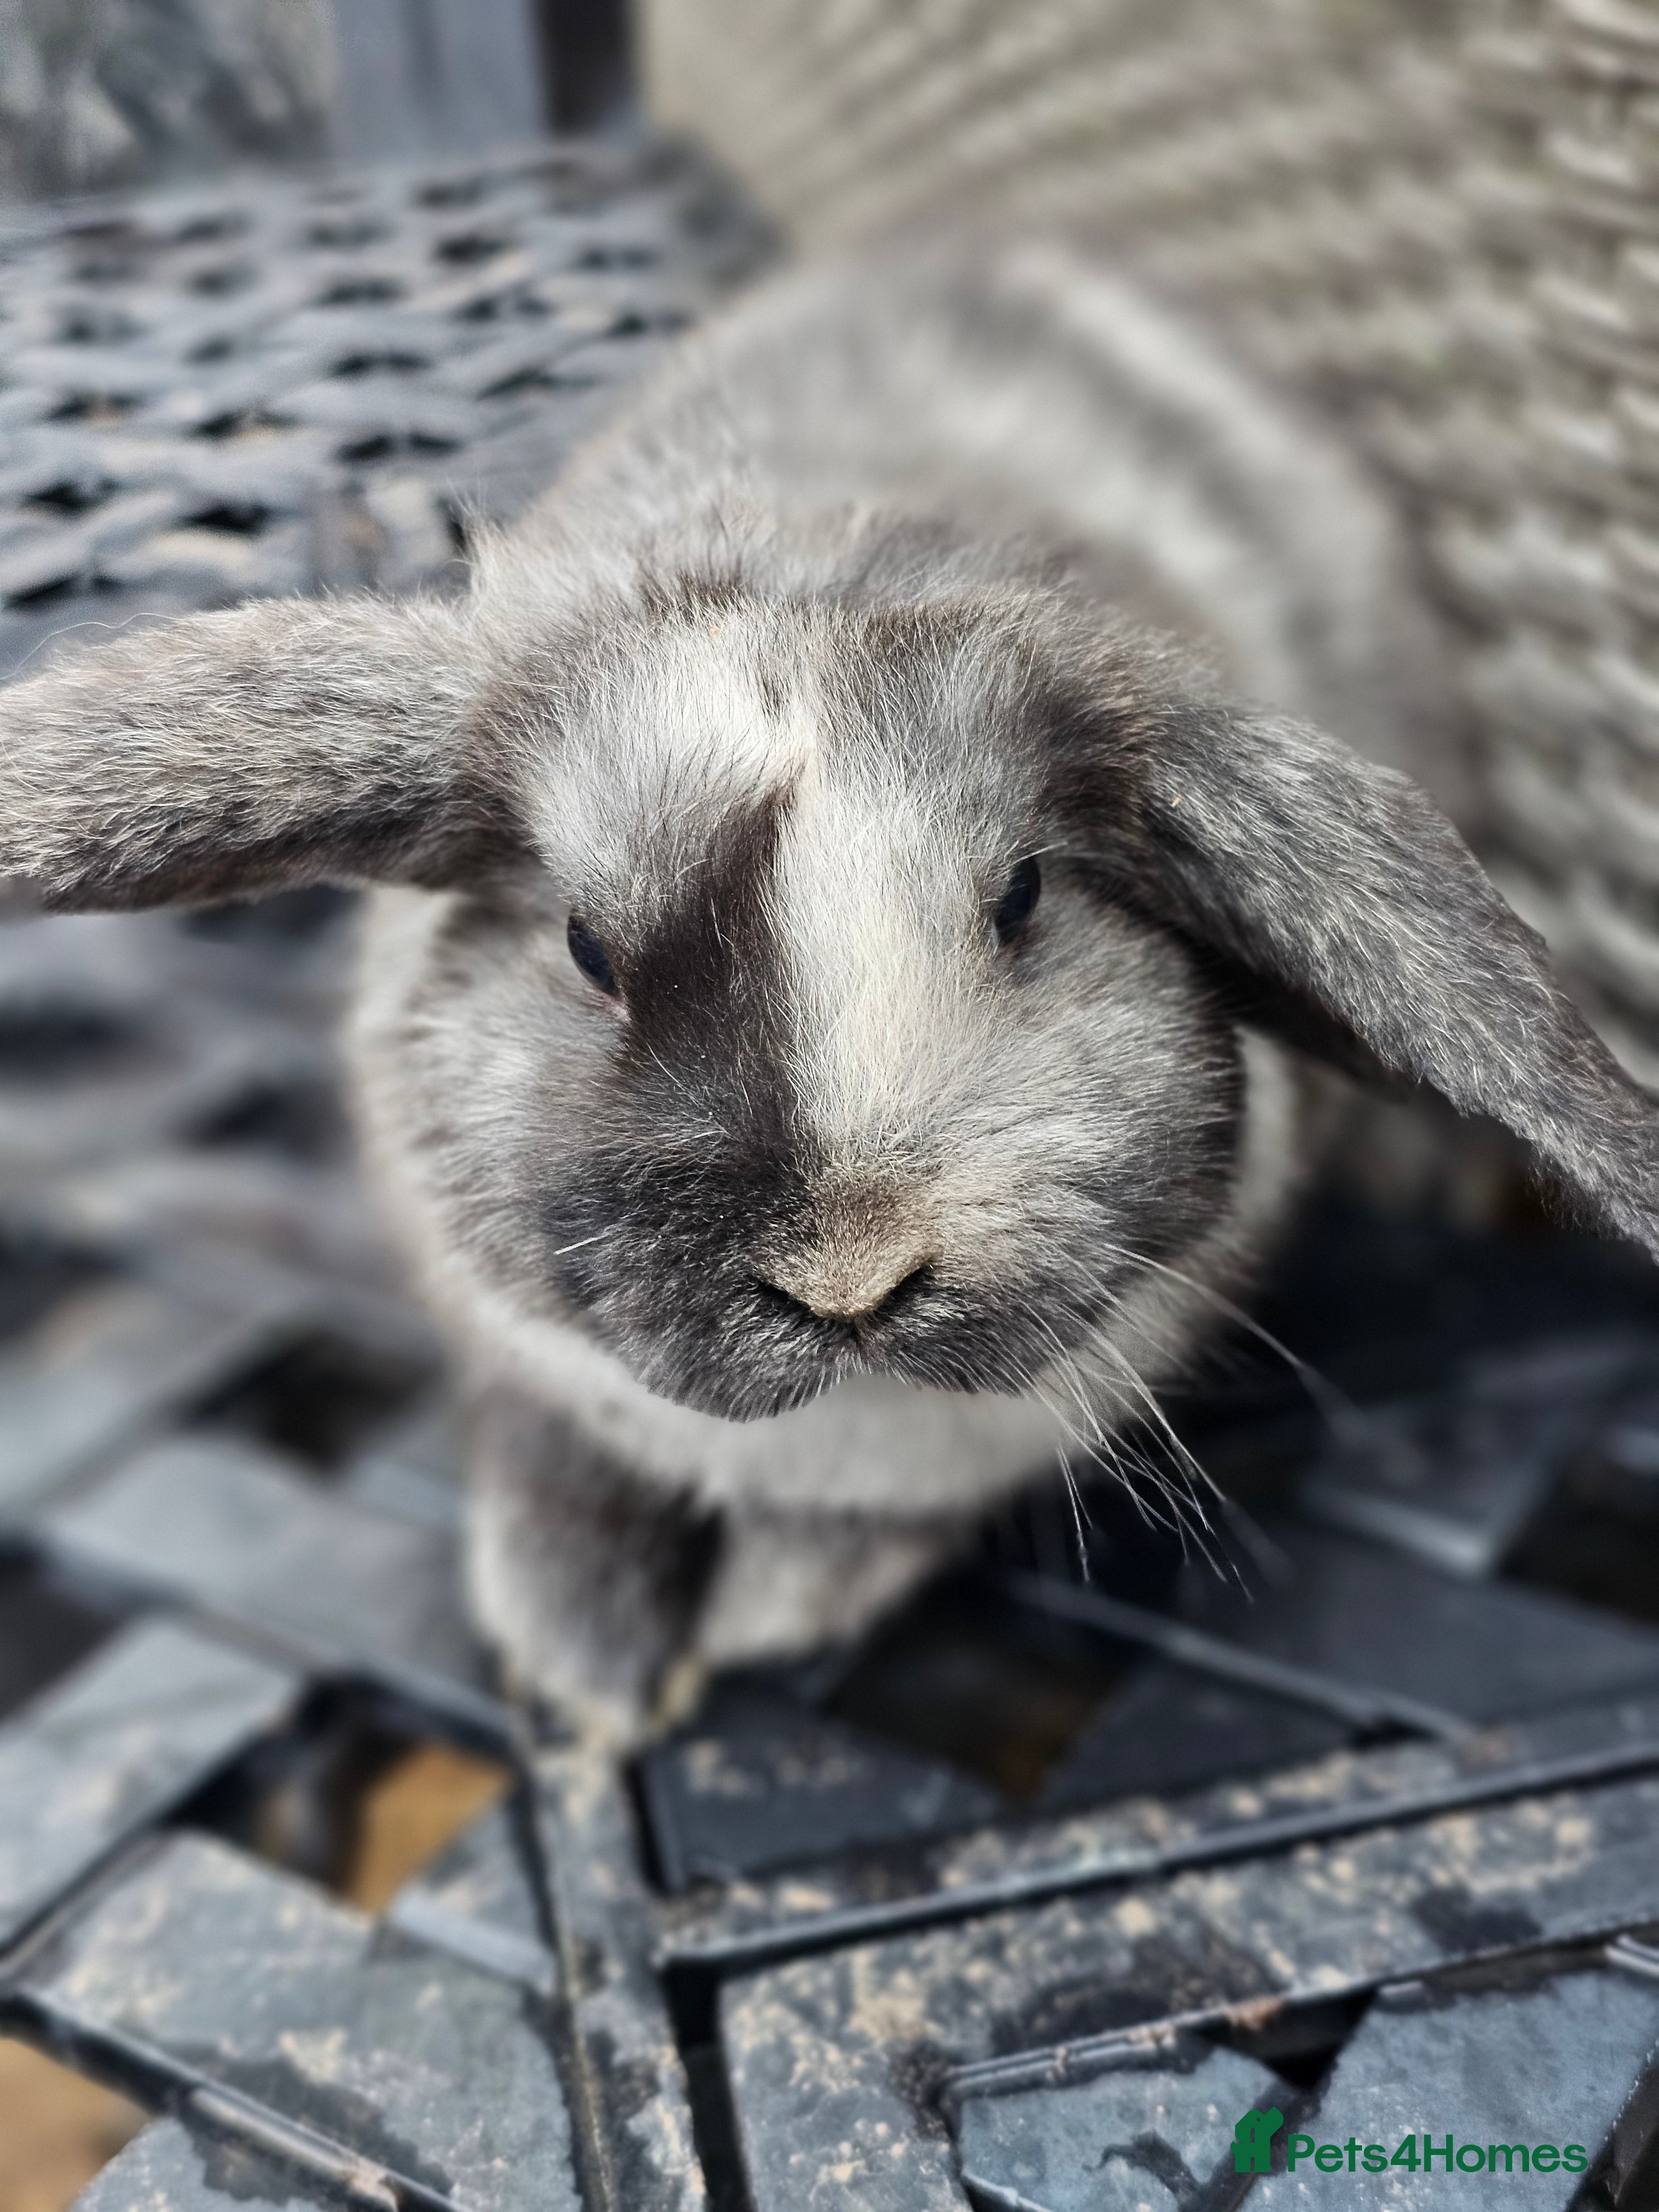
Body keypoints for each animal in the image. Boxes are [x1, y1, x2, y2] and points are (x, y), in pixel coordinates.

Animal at [1, 227, 1655, 1744]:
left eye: (1024, 897)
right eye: (587, 948)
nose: (848, 1273)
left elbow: (846, 1539)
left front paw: (751, 1625)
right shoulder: (527, 1372)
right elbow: (555, 1476)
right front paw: (585, 1669)